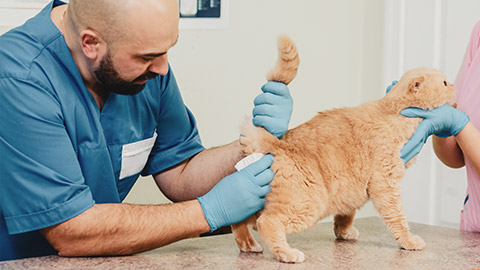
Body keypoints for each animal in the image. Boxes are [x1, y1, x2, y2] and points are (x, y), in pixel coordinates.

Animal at [234, 34, 456, 262]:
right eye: (445, 83)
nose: (455, 85)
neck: (395, 111)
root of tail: (278, 142)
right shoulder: (386, 183)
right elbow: (397, 218)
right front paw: (408, 241)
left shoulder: (351, 187)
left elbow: (346, 213)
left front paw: (344, 232)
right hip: (307, 204)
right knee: (266, 222)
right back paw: (287, 253)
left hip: (261, 199)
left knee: (240, 220)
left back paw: (248, 245)